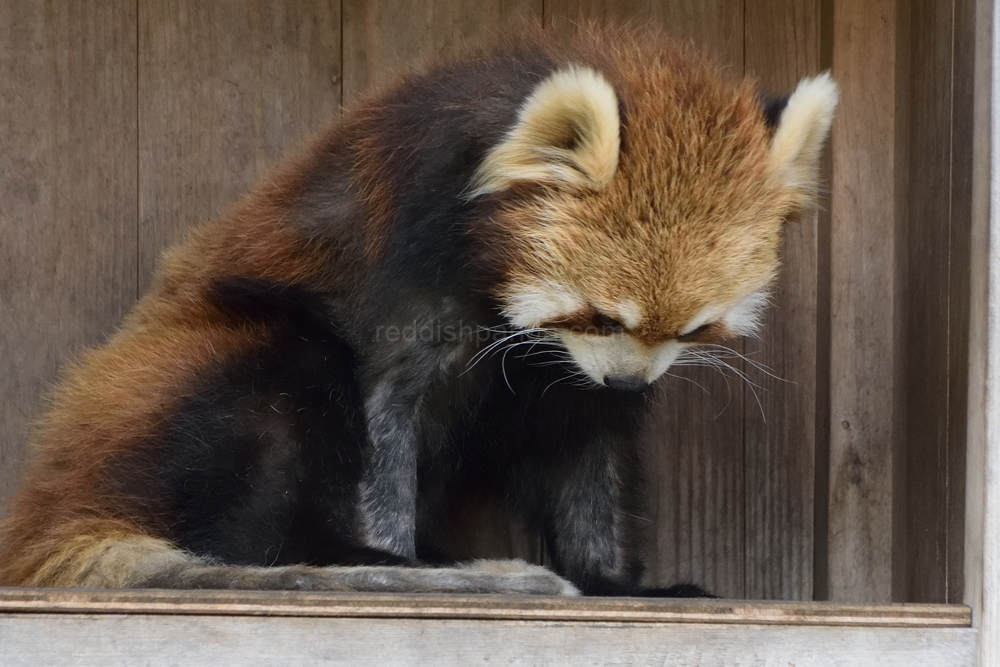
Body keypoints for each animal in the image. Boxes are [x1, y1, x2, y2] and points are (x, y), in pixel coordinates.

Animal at [0, 26, 836, 596]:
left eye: (694, 329)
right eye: (601, 315)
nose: (628, 384)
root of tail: (57, 501)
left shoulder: (565, 380)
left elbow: (583, 451)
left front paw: (612, 580)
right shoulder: (402, 273)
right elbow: (385, 428)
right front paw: (390, 547)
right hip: (195, 372)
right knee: (280, 399)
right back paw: (354, 559)